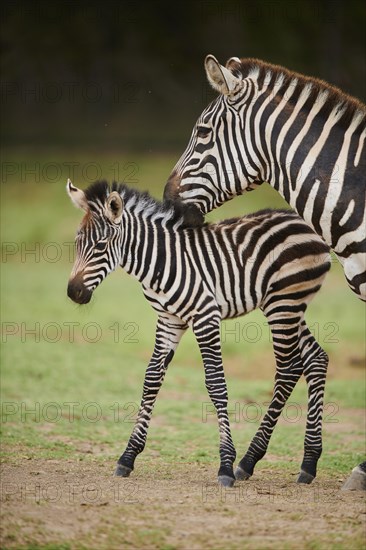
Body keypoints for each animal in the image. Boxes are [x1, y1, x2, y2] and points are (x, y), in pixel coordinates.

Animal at [66, 180, 332, 488]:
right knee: (316, 358)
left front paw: (225, 465)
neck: (159, 262)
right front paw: (128, 456)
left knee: (289, 367)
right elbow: (151, 380)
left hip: (284, 302)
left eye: (100, 245)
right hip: (288, 305)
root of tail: (306, 224)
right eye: (77, 244)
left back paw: (248, 461)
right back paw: (308, 462)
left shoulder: (206, 316)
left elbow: (216, 385)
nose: (73, 293)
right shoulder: (168, 320)